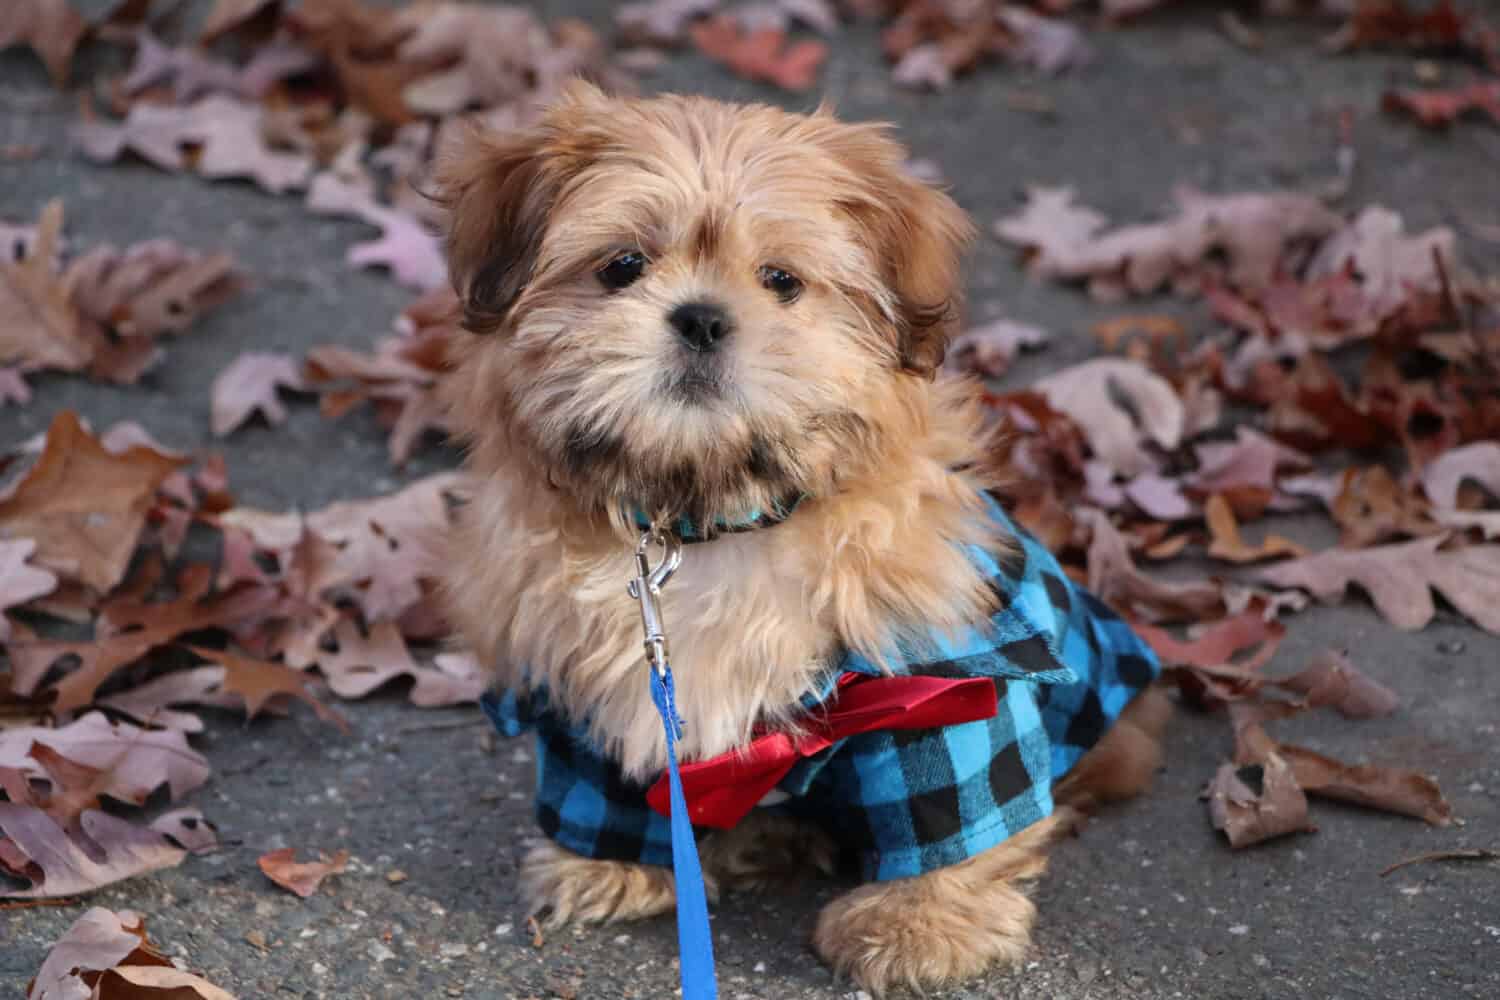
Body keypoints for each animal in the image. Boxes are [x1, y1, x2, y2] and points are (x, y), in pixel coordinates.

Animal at [429, 82, 1164, 995]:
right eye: (621, 266)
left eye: (781, 281)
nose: (702, 319)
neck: (710, 517)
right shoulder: (578, 674)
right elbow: (603, 776)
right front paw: (608, 864)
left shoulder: (940, 679)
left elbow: (950, 799)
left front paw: (919, 924)